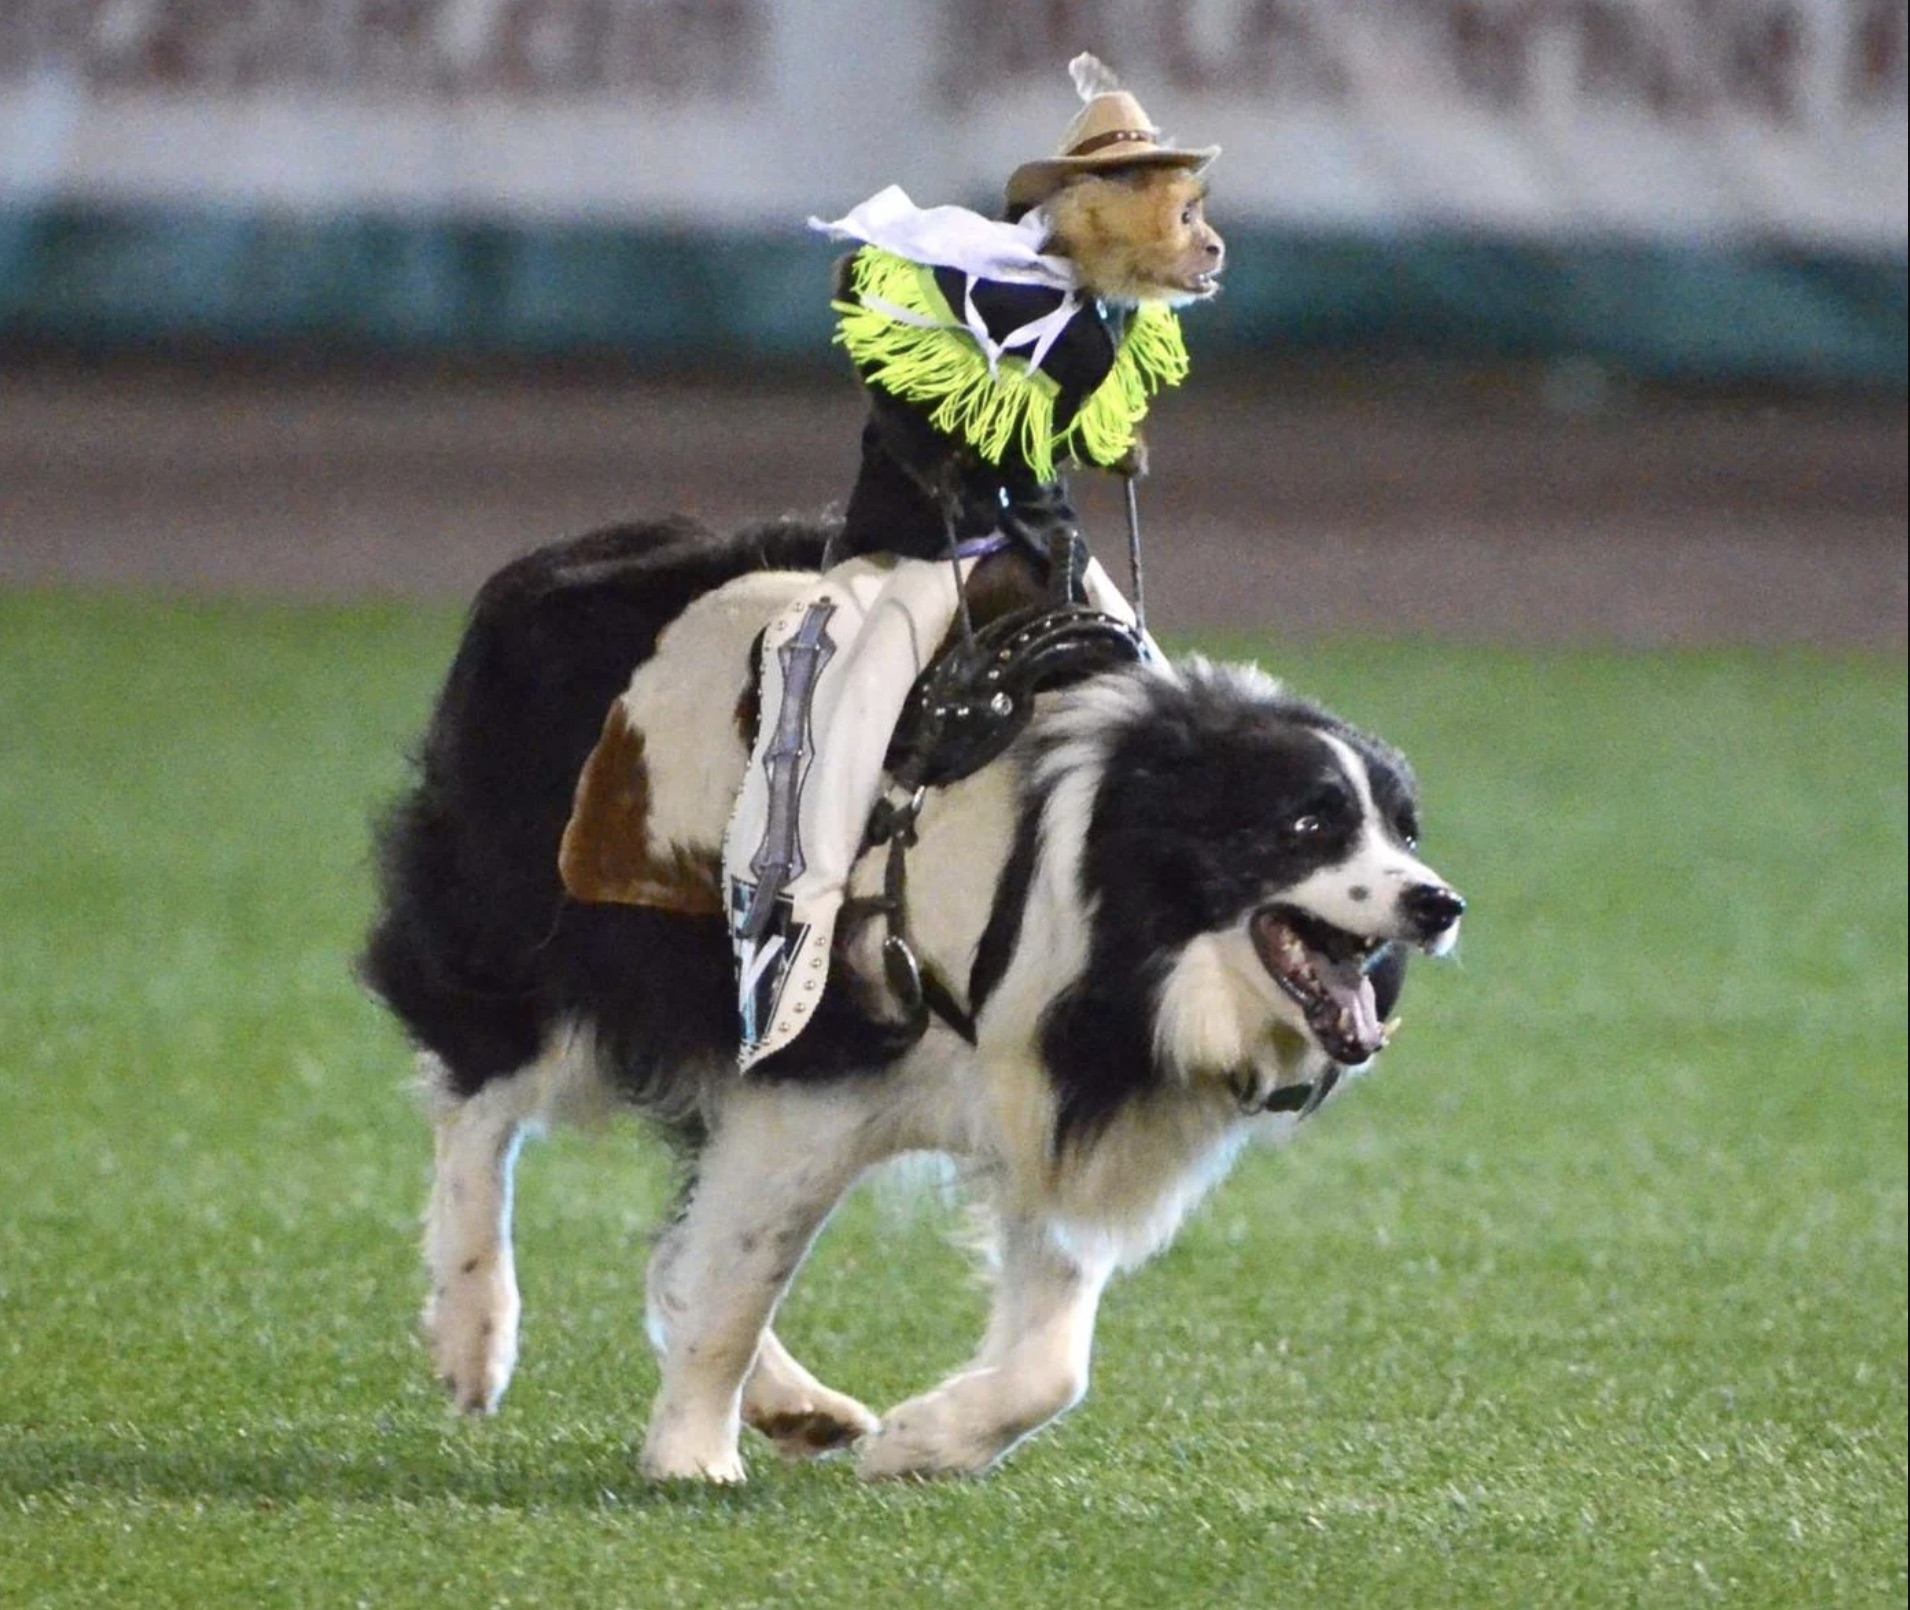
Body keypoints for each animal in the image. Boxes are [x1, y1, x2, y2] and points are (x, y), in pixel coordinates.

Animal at [360, 519, 1459, 1489]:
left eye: (1404, 830)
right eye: (1307, 824)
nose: (1438, 902)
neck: (1100, 879)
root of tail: (554, 561)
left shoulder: (1046, 1092)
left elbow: (1053, 1360)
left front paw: (922, 1443)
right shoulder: (811, 1075)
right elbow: (739, 1282)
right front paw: (691, 1456)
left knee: (673, 1226)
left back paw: (798, 1406)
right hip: (540, 942)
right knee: (476, 1100)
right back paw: (474, 1333)